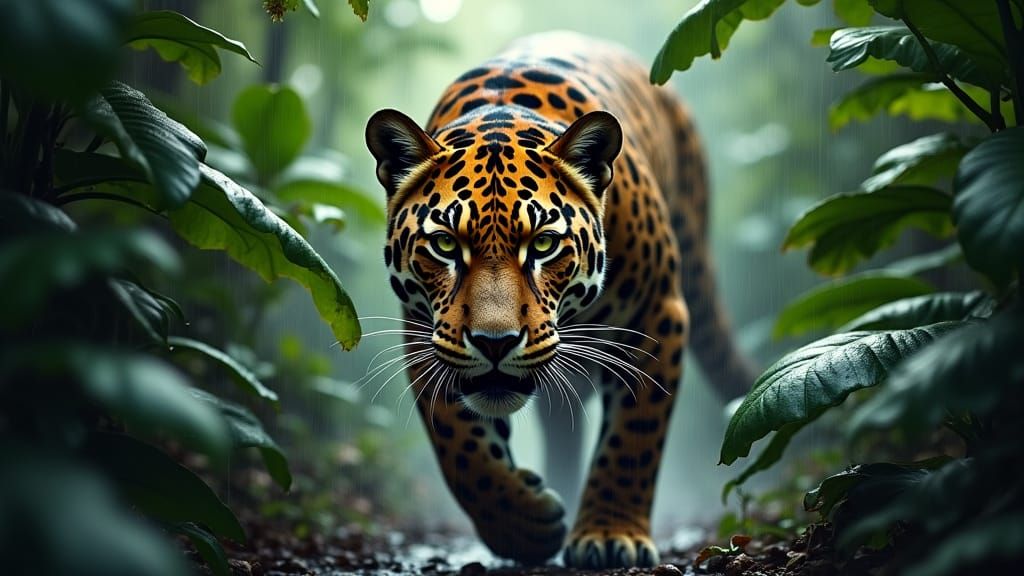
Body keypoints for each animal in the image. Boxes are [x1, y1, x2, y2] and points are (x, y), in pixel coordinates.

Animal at [365, 31, 753, 568]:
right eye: (444, 244)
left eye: (544, 244)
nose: (495, 343)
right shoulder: (426, 336)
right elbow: (462, 449)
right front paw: (522, 526)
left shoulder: (658, 315)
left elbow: (633, 439)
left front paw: (611, 536)